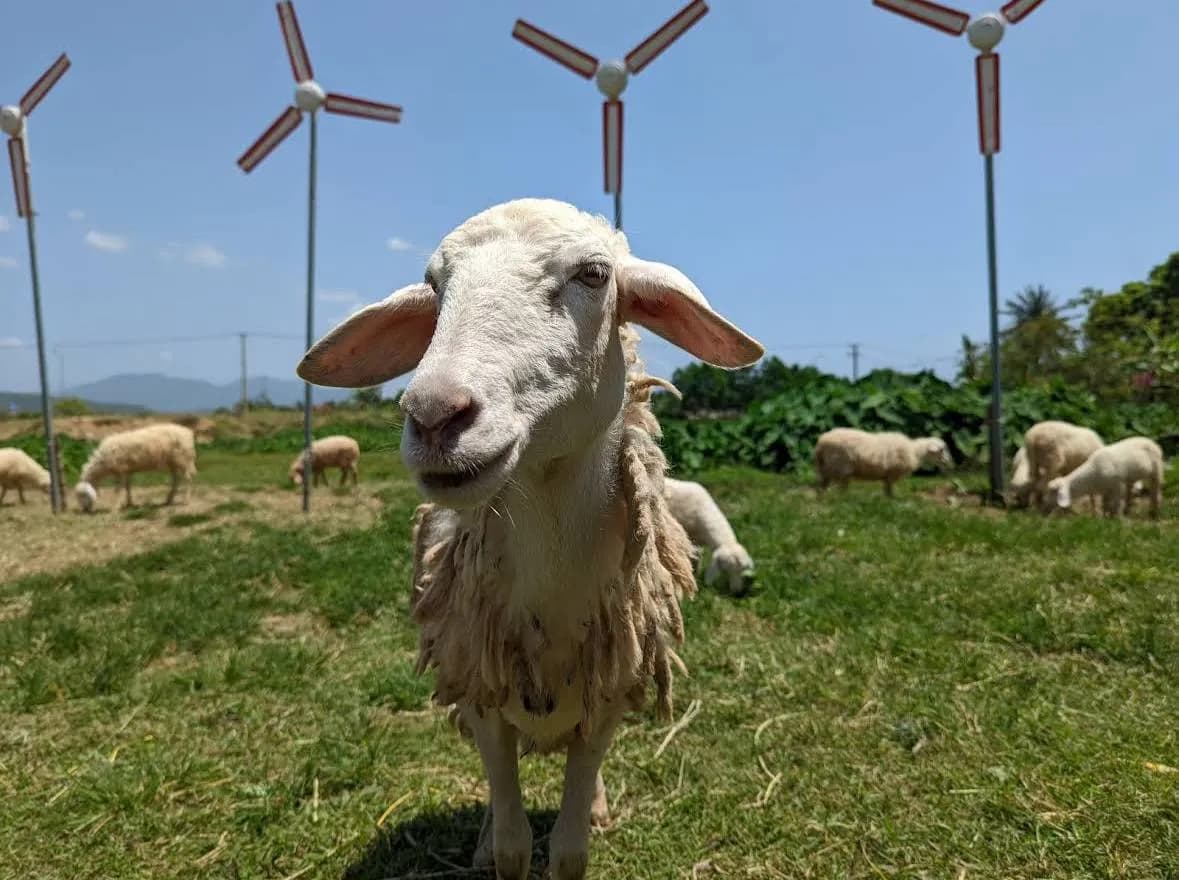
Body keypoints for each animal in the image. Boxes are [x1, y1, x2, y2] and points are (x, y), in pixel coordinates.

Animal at [297, 197, 763, 879]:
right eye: (434, 287)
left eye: (594, 274)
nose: (434, 415)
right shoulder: (483, 699)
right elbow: (516, 844)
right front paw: (500, 843)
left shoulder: (605, 701)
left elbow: (568, 851)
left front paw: (583, 822)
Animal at [814, 428, 953, 496]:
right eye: (941, 450)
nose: (948, 463)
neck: (914, 451)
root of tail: (821, 442)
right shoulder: (893, 473)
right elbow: (890, 491)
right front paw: (893, 501)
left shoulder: (887, 476)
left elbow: (886, 491)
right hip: (841, 467)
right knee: (840, 490)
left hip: (826, 468)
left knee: (822, 488)